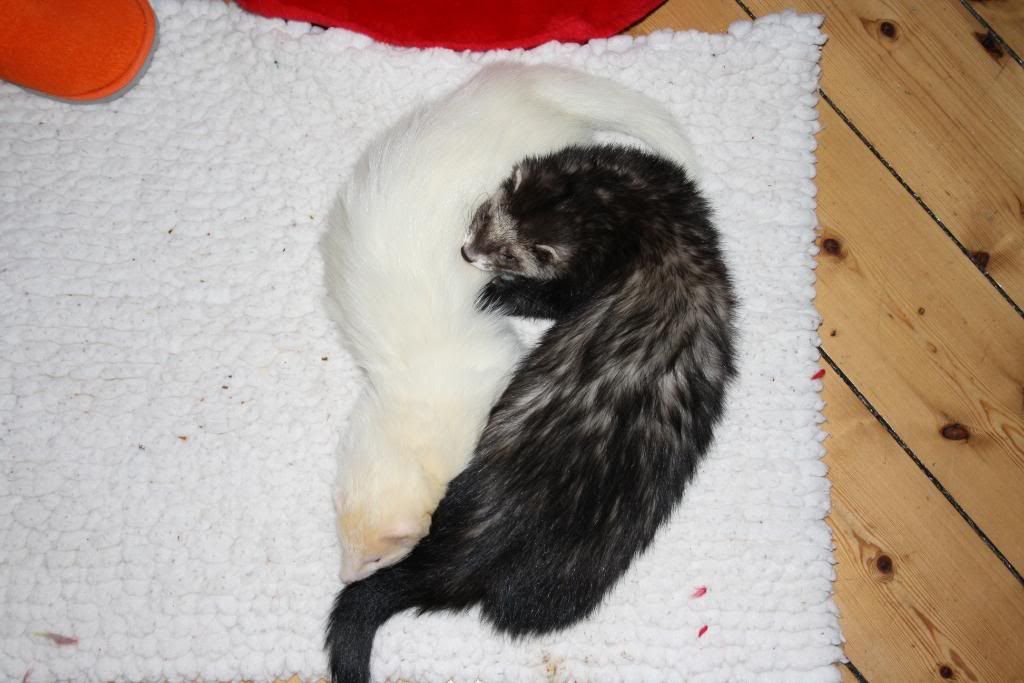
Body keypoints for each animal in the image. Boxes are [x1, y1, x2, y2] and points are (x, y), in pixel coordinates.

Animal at [324, 143, 736, 683]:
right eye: (484, 214)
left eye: (509, 253)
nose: (467, 253)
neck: (643, 215)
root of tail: (484, 542)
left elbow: (553, 299)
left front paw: (497, 293)